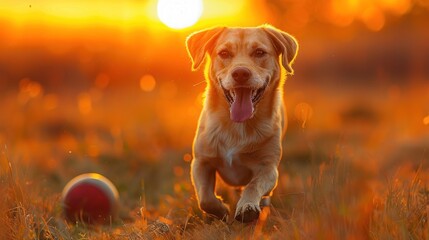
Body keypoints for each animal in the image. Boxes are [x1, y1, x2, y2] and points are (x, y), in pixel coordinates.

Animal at [184, 24, 298, 223]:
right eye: (224, 53)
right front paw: (221, 209)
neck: (237, 126)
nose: (241, 73)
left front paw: (247, 207)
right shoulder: (201, 162)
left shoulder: (268, 167)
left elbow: (253, 185)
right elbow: (205, 198)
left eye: (259, 52)